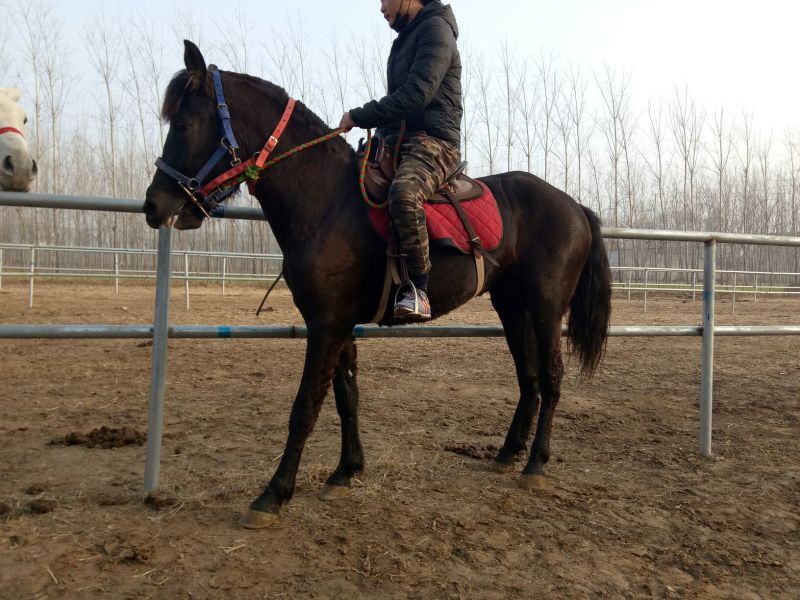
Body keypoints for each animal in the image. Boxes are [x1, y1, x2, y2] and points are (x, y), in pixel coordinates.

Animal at [144, 41, 612, 529]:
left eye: (183, 123)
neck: (328, 202)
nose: (153, 205)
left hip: (546, 306)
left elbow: (305, 407)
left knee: (553, 377)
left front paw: (274, 494)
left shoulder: (326, 325)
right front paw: (346, 471)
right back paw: (508, 453)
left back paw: (536, 463)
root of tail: (574, 206)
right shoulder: (338, 324)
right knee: (529, 377)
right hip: (511, 306)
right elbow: (346, 396)